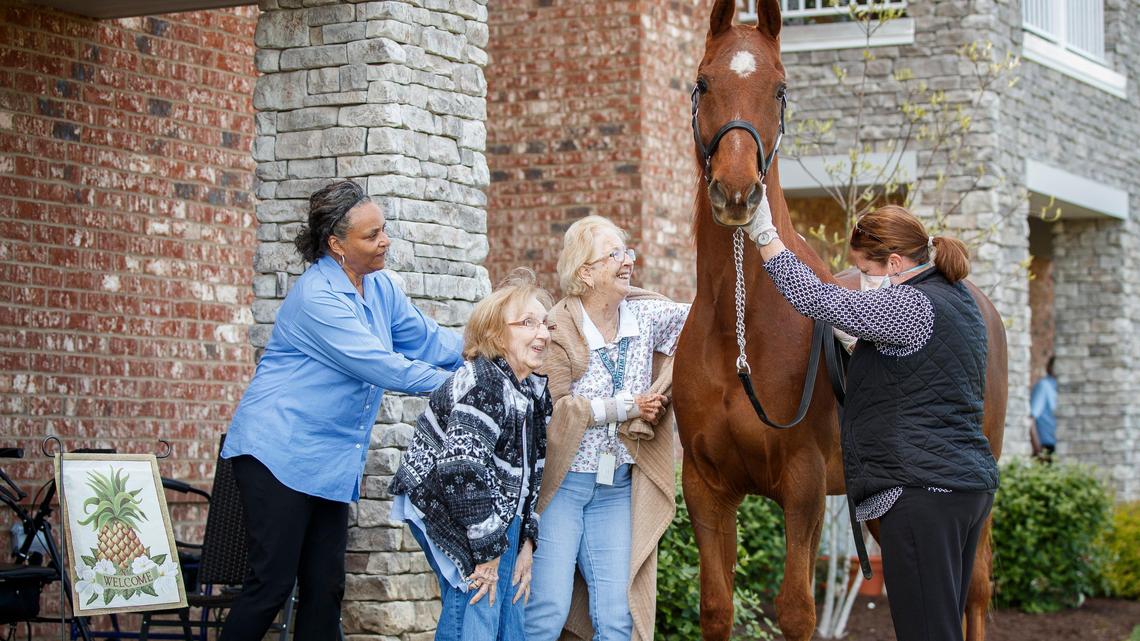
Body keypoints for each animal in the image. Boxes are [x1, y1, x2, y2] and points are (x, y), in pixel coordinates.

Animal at [671, 2, 1008, 640]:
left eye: (780, 88)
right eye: (702, 82)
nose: (737, 193)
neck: (740, 333)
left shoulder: (802, 486)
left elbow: (797, 611)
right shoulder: (706, 487)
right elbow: (717, 608)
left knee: (974, 593)